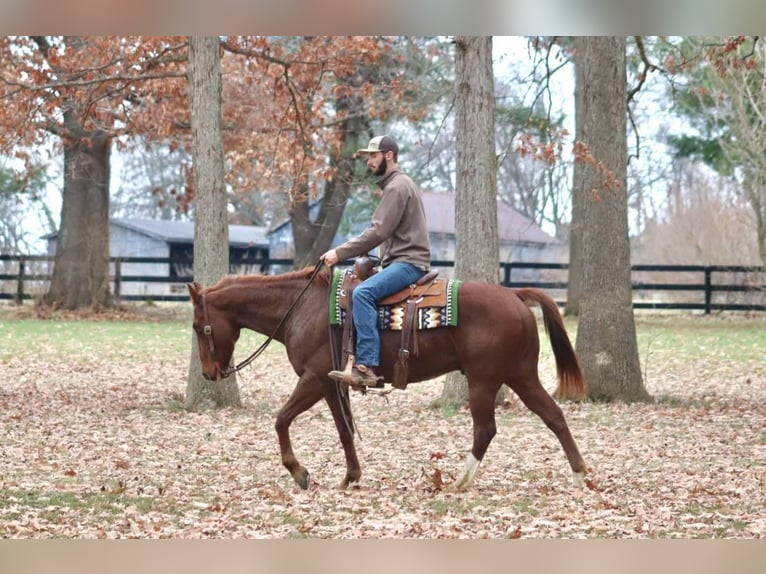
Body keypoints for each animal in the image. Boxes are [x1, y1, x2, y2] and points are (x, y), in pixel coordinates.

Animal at [187, 266, 588, 491]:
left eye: (198, 327)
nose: (208, 373)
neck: (302, 309)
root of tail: (514, 295)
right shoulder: (331, 385)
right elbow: (344, 431)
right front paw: (351, 476)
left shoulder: (313, 379)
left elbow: (281, 419)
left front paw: (300, 473)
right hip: (521, 375)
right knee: (554, 416)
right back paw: (580, 475)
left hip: (483, 380)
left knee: (485, 429)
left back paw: (461, 480)